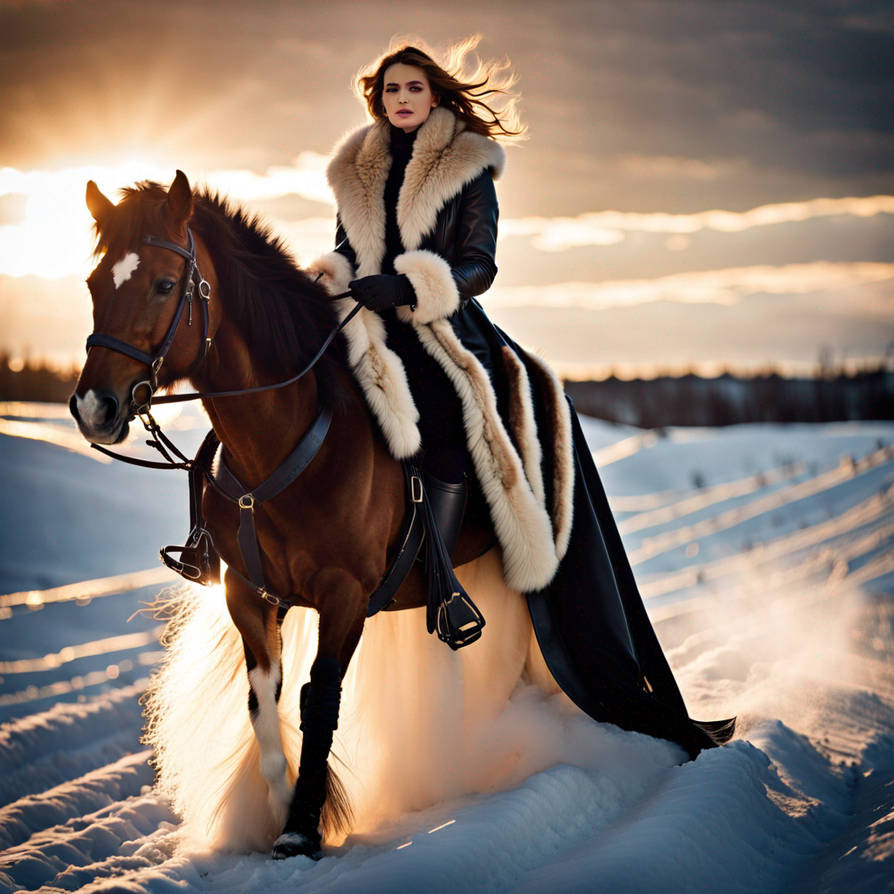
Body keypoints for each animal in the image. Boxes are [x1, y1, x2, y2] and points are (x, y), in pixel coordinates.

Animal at [70, 170, 498, 859]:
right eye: (92, 284)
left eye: (163, 284)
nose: (93, 407)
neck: (285, 439)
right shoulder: (247, 593)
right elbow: (264, 705)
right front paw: (275, 806)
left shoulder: (345, 597)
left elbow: (320, 699)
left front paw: (303, 826)